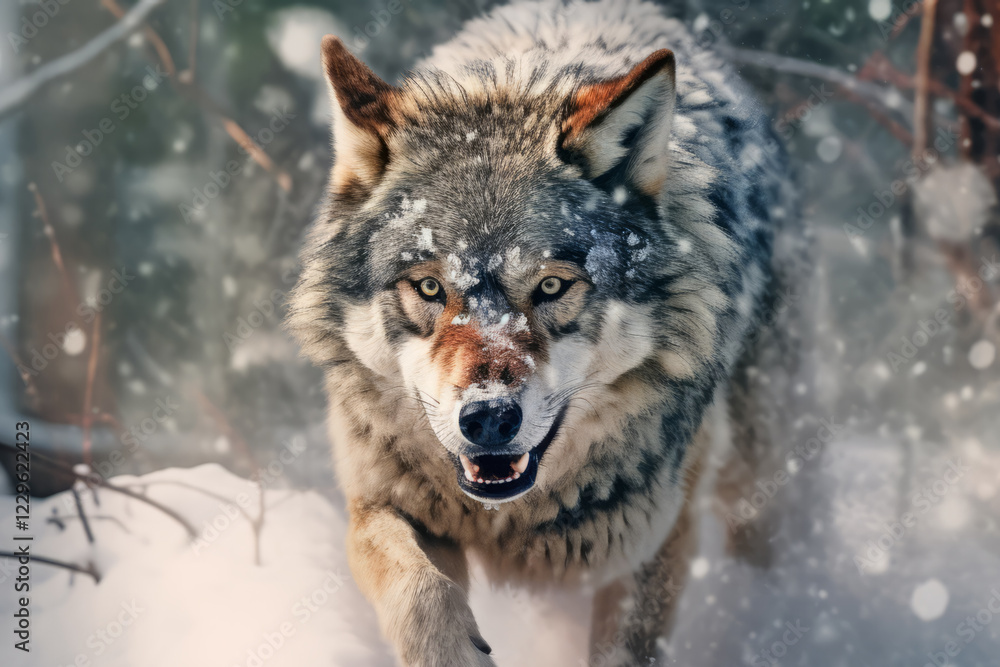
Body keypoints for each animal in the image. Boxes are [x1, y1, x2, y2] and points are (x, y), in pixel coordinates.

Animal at [288, 0, 805, 664]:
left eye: (552, 287)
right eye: (429, 288)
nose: (487, 418)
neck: (510, 518)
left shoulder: (649, 545)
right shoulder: (384, 501)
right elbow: (420, 590)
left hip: (756, 463)